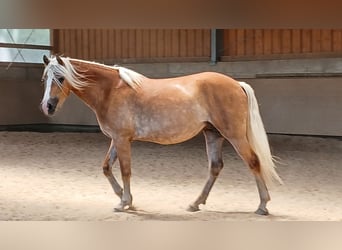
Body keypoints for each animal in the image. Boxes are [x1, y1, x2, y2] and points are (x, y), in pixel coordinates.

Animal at [40, 54, 282, 215]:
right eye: (45, 79)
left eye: (60, 78)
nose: (48, 106)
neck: (111, 90)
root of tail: (237, 84)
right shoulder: (117, 139)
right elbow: (106, 167)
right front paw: (124, 198)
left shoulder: (122, 139)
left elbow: (126, 171)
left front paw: (124, 202)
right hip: (213, 134)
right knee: (215, 167)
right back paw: (195, 203)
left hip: (234, 135)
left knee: (253, 162)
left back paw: (262, 205)